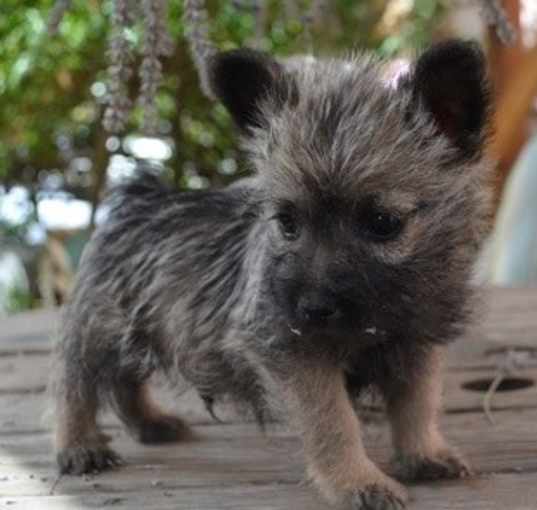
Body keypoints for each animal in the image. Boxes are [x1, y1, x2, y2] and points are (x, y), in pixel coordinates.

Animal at [52, 40, 492, 510]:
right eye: (287, 223)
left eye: (382, 223)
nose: (312, 307)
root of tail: (138, 197)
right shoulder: (298, 353)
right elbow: (334, 422)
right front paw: (356, 482)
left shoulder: (417, 345)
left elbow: (417, 404)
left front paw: (424, 454)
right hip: (96, 327)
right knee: (74, 385)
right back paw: (78, 446)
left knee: (124, 381)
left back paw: (150, 424)